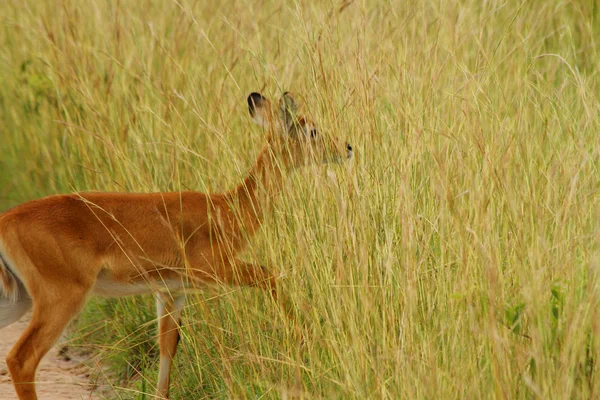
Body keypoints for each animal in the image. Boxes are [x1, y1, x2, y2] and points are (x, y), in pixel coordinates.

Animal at [0, 92, 352, 398]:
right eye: (312, 130)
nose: (347, 147)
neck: (226, 209)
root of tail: (7, 221)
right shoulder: (215, 271)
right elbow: (273, 275)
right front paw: (304, 338)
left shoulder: (171, 289)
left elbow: (168, 345)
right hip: (61, 297)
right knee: (21, 359)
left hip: (19, 300)